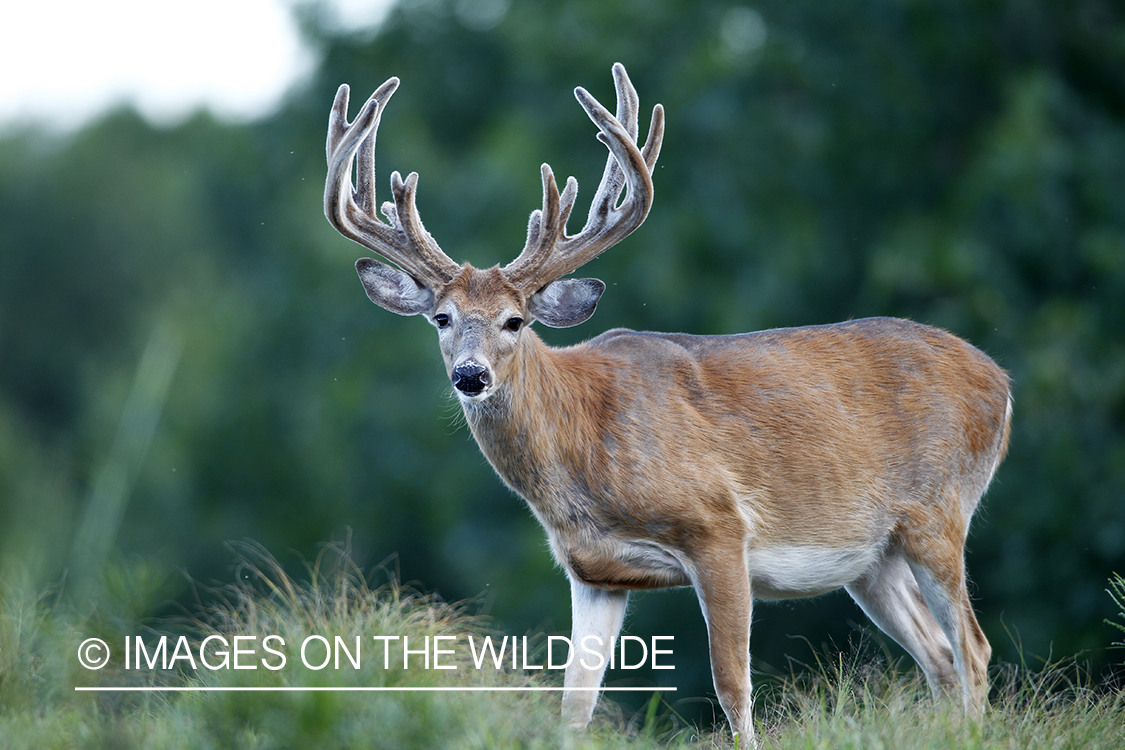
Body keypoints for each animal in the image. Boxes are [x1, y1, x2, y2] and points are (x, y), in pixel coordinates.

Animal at [324, 61, 1012, 742]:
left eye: (515, 321)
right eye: (441, 318)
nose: (470, 375)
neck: (582, 447)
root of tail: (1000, 380)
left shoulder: (718, 526)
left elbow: (732, 685)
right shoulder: (593, 572)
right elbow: (575, 703)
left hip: (938, 509)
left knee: (973, 648)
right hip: (872, 557)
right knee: (940, 655)